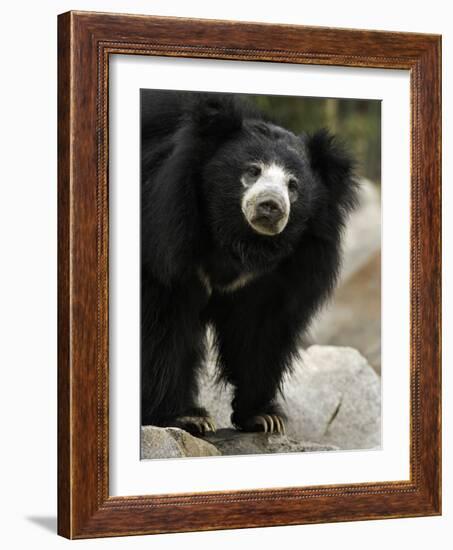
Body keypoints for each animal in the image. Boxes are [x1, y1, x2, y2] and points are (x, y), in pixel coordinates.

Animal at [141, 89, 356, 436]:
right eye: (252, 170)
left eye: (293, 185)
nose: (270, 206)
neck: (237, 242)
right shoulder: (163, 241)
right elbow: (163, 327)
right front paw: (185, 417)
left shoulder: (277, 273)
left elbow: (259, 331)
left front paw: (263, 416)